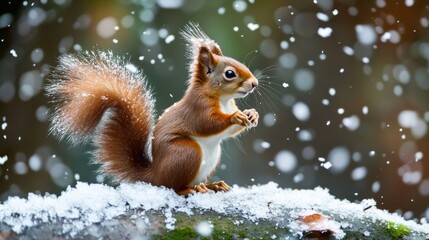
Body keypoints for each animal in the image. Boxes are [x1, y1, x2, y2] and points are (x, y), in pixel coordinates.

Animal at [48, 22, 260, 195]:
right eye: (230, 74)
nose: (254, 83)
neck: (223, 100)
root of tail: (154, 176)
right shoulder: (197, 108)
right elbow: (207, 124)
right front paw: (235, 117)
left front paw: (252, 115)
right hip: (186, 153)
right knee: (173, 186)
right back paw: (190, 189)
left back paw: (212, 185)